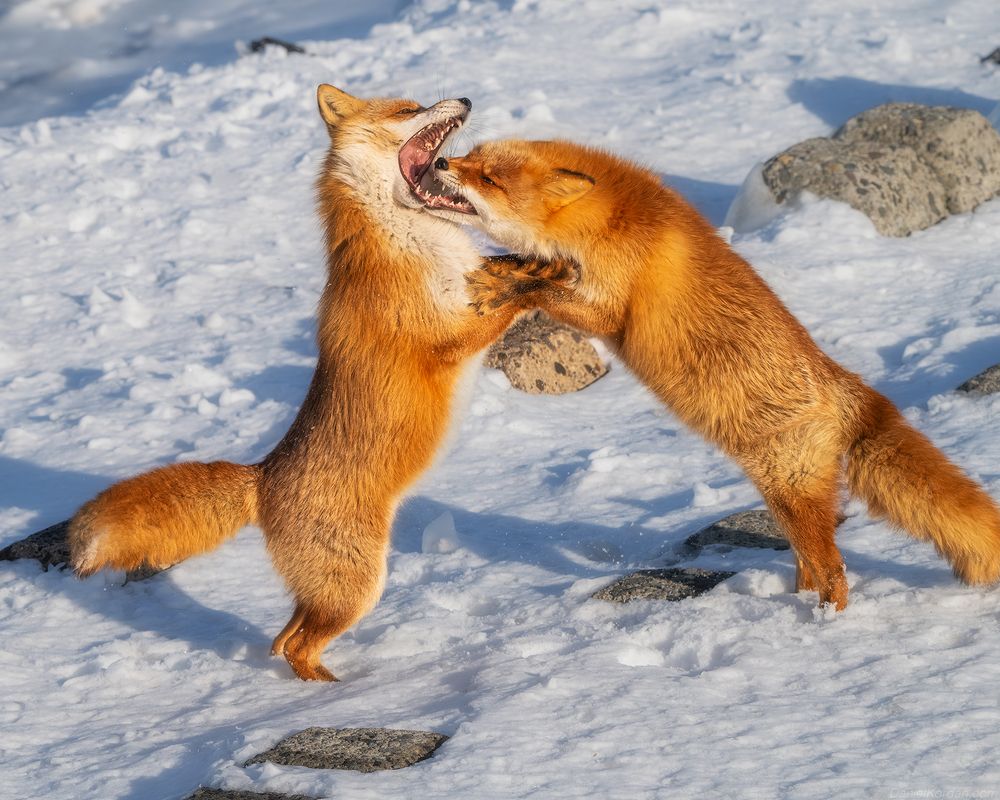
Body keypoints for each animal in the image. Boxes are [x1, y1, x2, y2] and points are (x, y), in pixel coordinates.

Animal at [67, 89, 574, 680]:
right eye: (407, 110)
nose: (466, 97)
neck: (414, 241)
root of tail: (263, 477)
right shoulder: (442, 338)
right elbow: (511, 303)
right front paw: (548, 279)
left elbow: (510, 270)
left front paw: (544, 260)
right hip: (357, 588)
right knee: (299, 647)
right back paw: (335, 689)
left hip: (325, 592)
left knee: (282, 637)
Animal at [419, 138, 1000, 610]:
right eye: (471, 156)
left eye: (490, 179)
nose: (442, 161)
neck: (608, 220)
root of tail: (856, 391)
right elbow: (531, 269)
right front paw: (503, 269)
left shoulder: (610, 309)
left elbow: (541, 291)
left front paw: (507, 286)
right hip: (784, 503)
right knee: (811, 566)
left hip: (792, 495)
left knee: (834, 573)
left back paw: (820, 626)